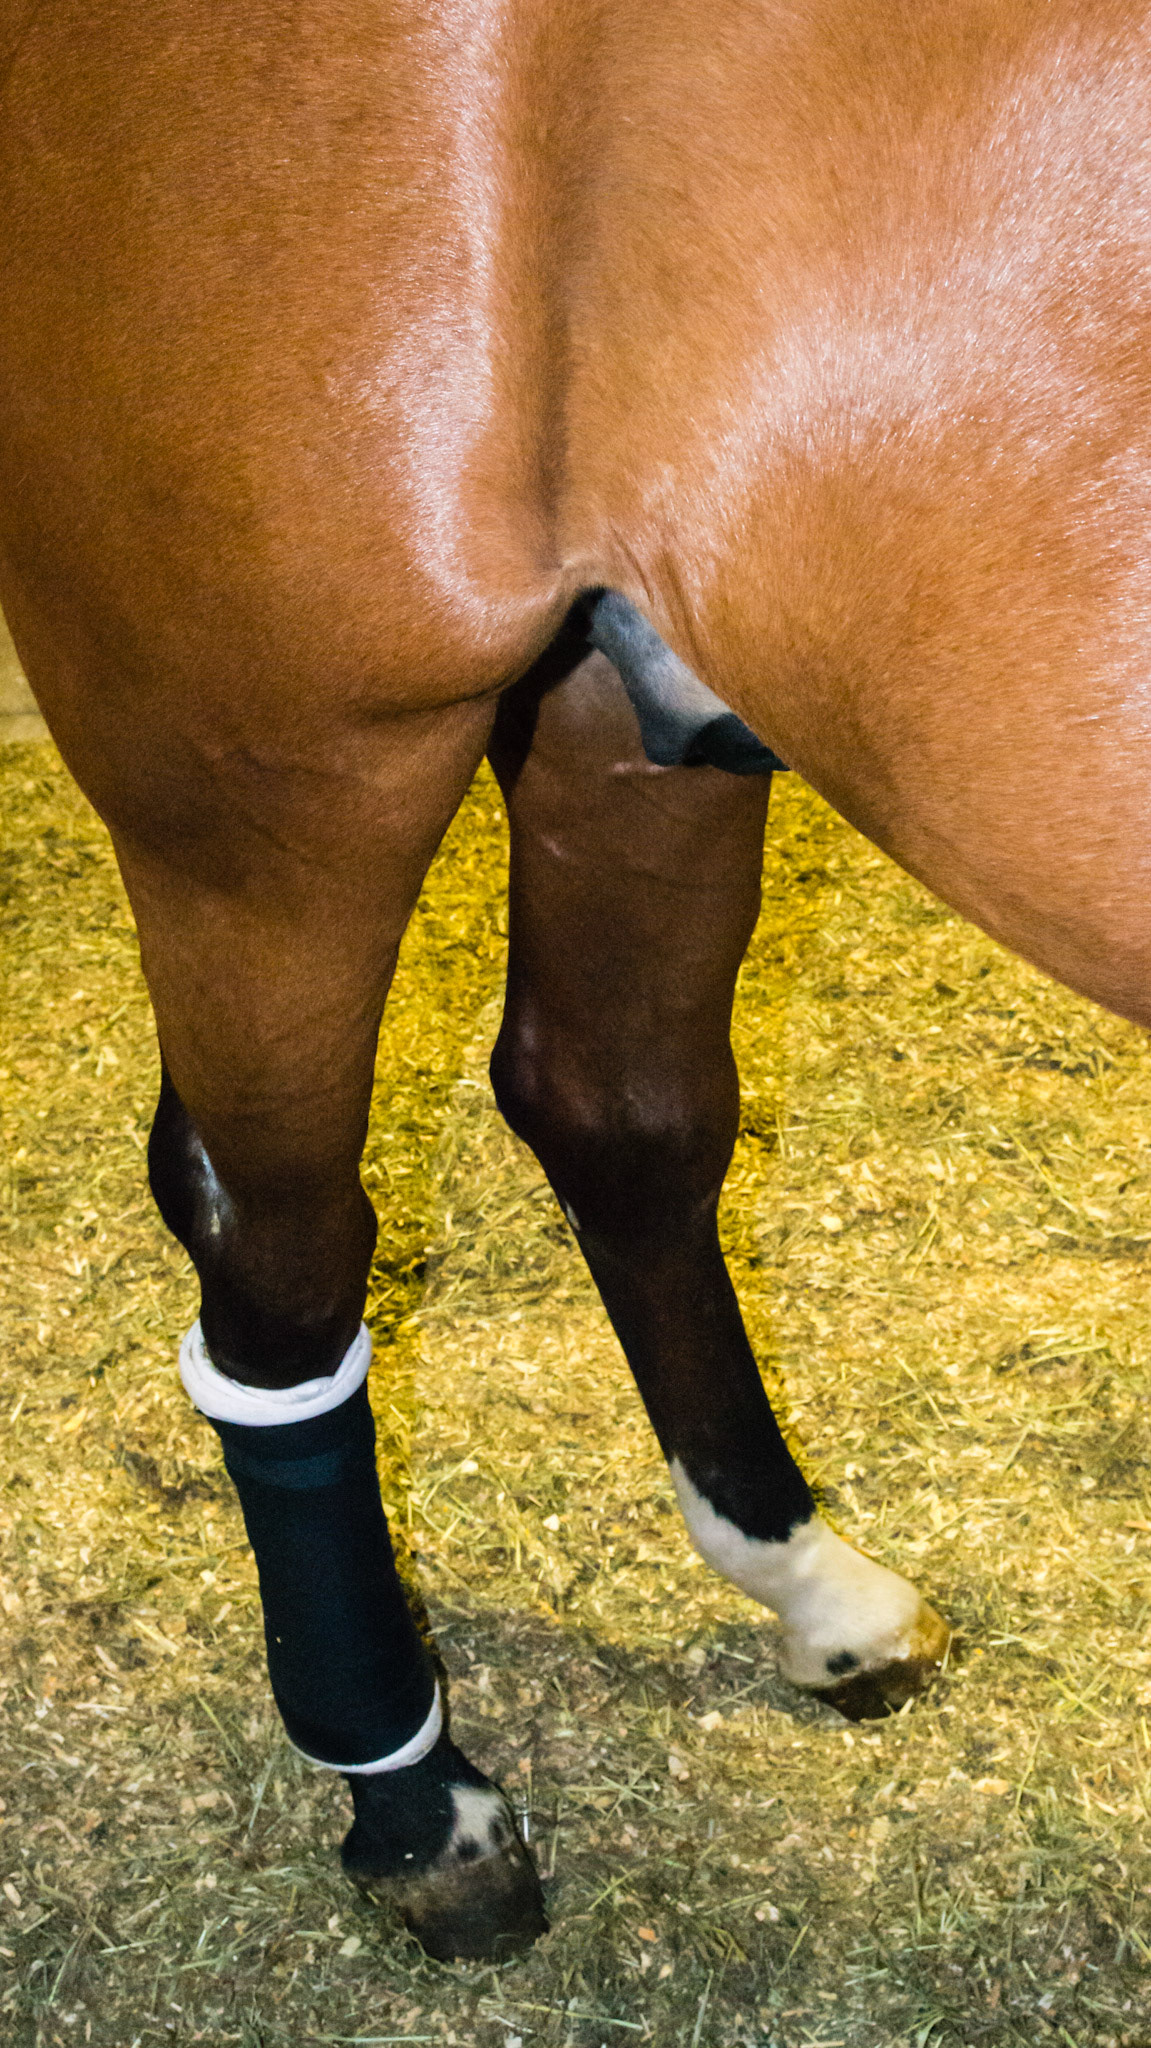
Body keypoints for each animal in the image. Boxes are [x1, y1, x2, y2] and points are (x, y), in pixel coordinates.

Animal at [3, 0, 1151, 1963]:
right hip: (282, 762)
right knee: (274, 1249)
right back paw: (407, 1789)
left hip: (632, 693)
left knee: (610, 1111)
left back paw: (808, 1587)